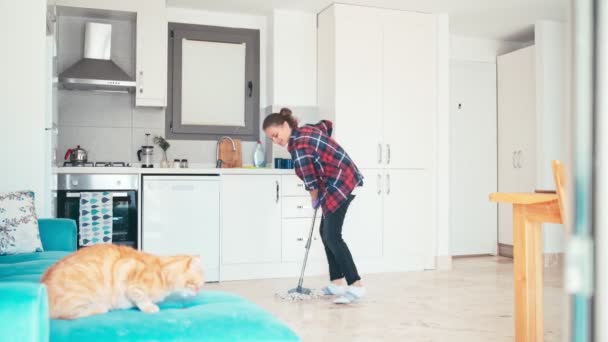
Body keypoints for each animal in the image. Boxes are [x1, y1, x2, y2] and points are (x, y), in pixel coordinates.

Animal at [42, 244, 207, 320]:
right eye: (195, 285)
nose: (198, 292)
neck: (161, 272)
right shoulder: (130, 278)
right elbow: (142, 298)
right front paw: (150, 307)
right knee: (69, 315)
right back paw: (102, 307)